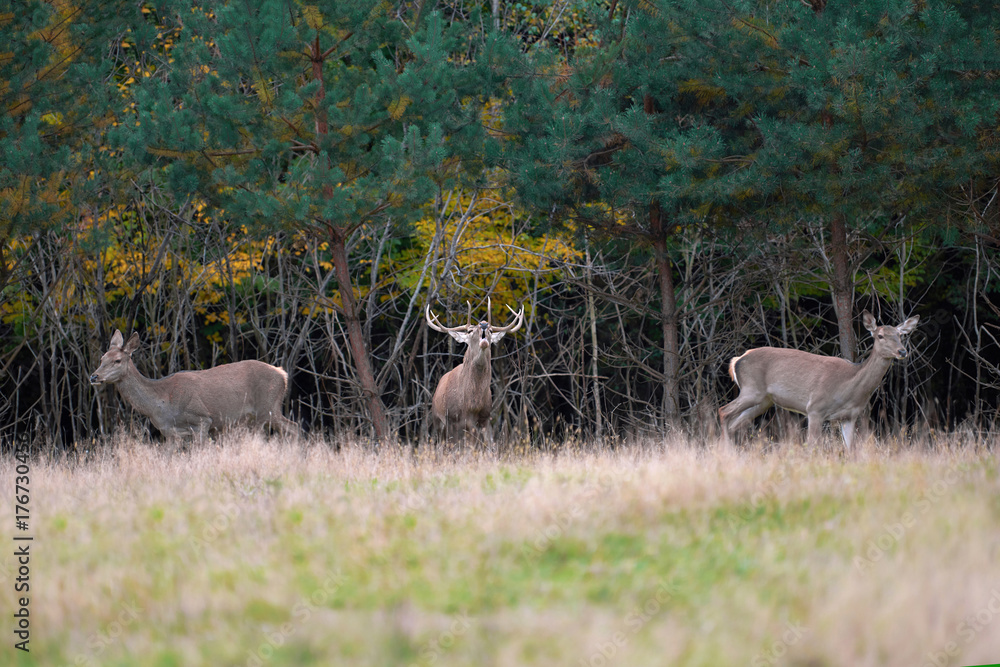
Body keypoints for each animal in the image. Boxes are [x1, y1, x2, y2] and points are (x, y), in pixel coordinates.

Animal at [91, 330, 296, 444]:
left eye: (117, 360)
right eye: (101, 358)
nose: (94, 376)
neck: (161, 403)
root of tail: (282, 375)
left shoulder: (203, 419)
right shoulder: (170, 433)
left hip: (267, 407)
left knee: (293, 428)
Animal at [426, 298, 528, 446]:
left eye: (491, 330)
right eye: (469, 331)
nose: (484, 324)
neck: (471, 404)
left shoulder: (485, 418)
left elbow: (490, 446)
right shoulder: (451, 419)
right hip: (437, 421)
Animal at [720, 312, 920, 448]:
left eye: (900, 335)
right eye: (880, 336)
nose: (902, 351)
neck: (849, 387)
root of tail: (737, 359)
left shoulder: (849, 417)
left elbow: (851, 451)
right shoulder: (815, 408)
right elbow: (811, 447)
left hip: (763, 401)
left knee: (734, 423)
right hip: (751, 389)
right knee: (723, 412)